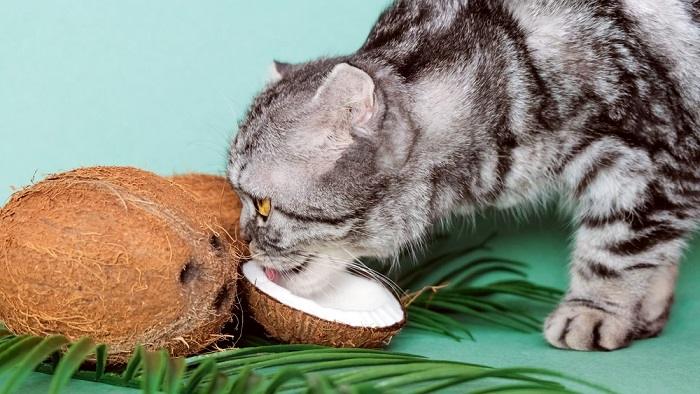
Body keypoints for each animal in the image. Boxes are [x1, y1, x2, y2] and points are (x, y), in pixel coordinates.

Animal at [228, 0, 700, 350]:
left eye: (264, 206)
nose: (243, 238)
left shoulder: (647, 160)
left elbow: (616, 249)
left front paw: (595, 311)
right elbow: (660, 245)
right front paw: (648, 305)